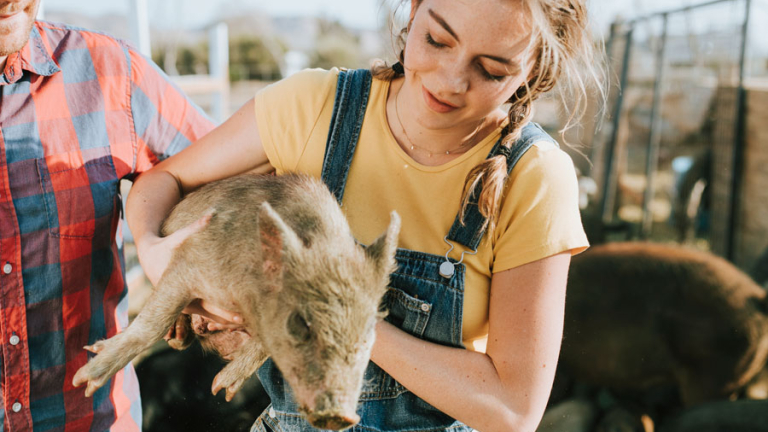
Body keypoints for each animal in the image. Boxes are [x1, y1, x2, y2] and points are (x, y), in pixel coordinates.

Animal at [70, 172, 402, 428]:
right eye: (300, 323)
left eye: (368, 332)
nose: (340, 415)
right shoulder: (192, 258)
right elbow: (153, 323)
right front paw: (84, 380)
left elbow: (262, 345)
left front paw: (221, 388)